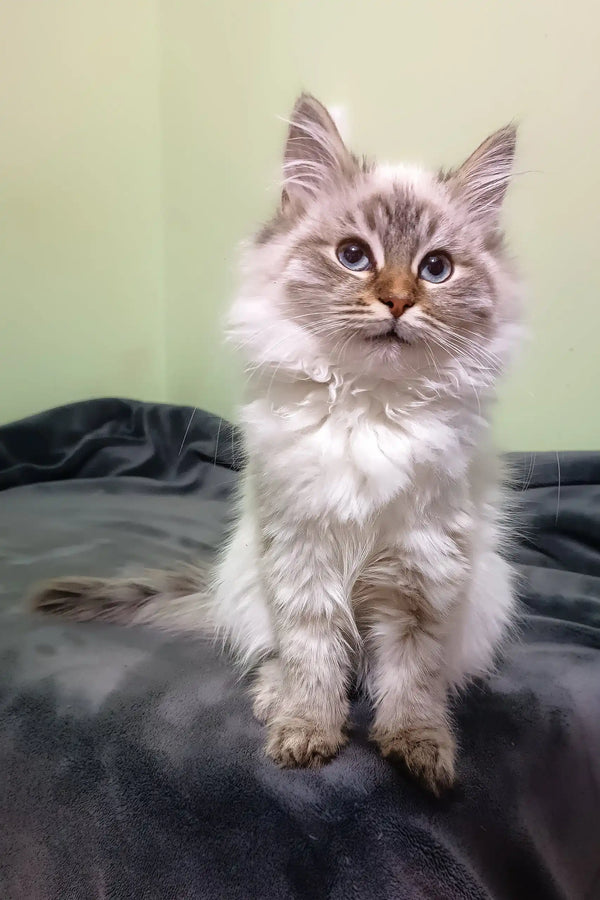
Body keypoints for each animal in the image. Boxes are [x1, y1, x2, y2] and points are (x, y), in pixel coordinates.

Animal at [30, 95, 524, 792]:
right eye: (354, 255)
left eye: (437, 269)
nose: (398, 302)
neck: (369, 409)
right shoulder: (302, 557)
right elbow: (312, 659)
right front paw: (307, 734)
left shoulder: (421, 573)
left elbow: (410, 679)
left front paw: (418, 749)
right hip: (251, 576)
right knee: (269, 653)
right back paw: (274, 698)